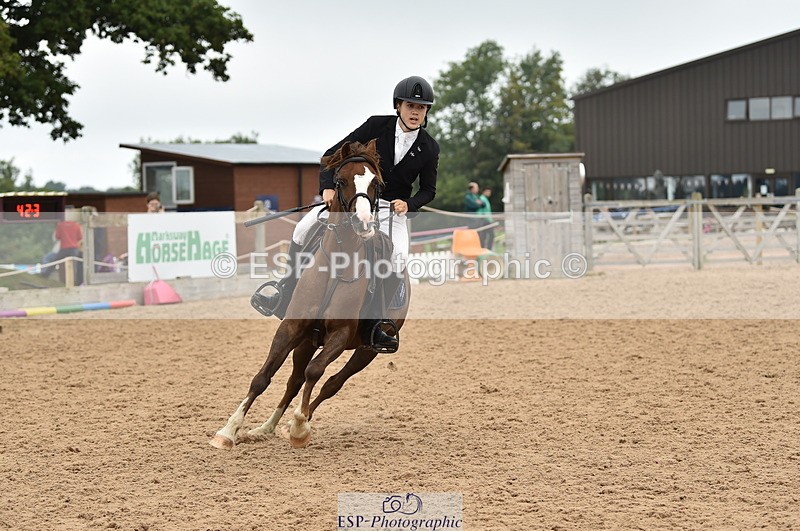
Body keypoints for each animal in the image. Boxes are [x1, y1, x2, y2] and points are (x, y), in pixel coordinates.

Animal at [209, 140, 410, 449]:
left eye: (375, 183)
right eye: (341, 181)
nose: (364, 223)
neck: (338, 262)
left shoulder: (340, 336)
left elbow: (315, 372)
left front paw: (299, 426)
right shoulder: (291, 327)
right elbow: (263, 377)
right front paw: (228, 431)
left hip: (366, 351)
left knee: (330, 383)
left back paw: (297, 422)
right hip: (306, 340)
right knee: (293, 381)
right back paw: (266, 427)